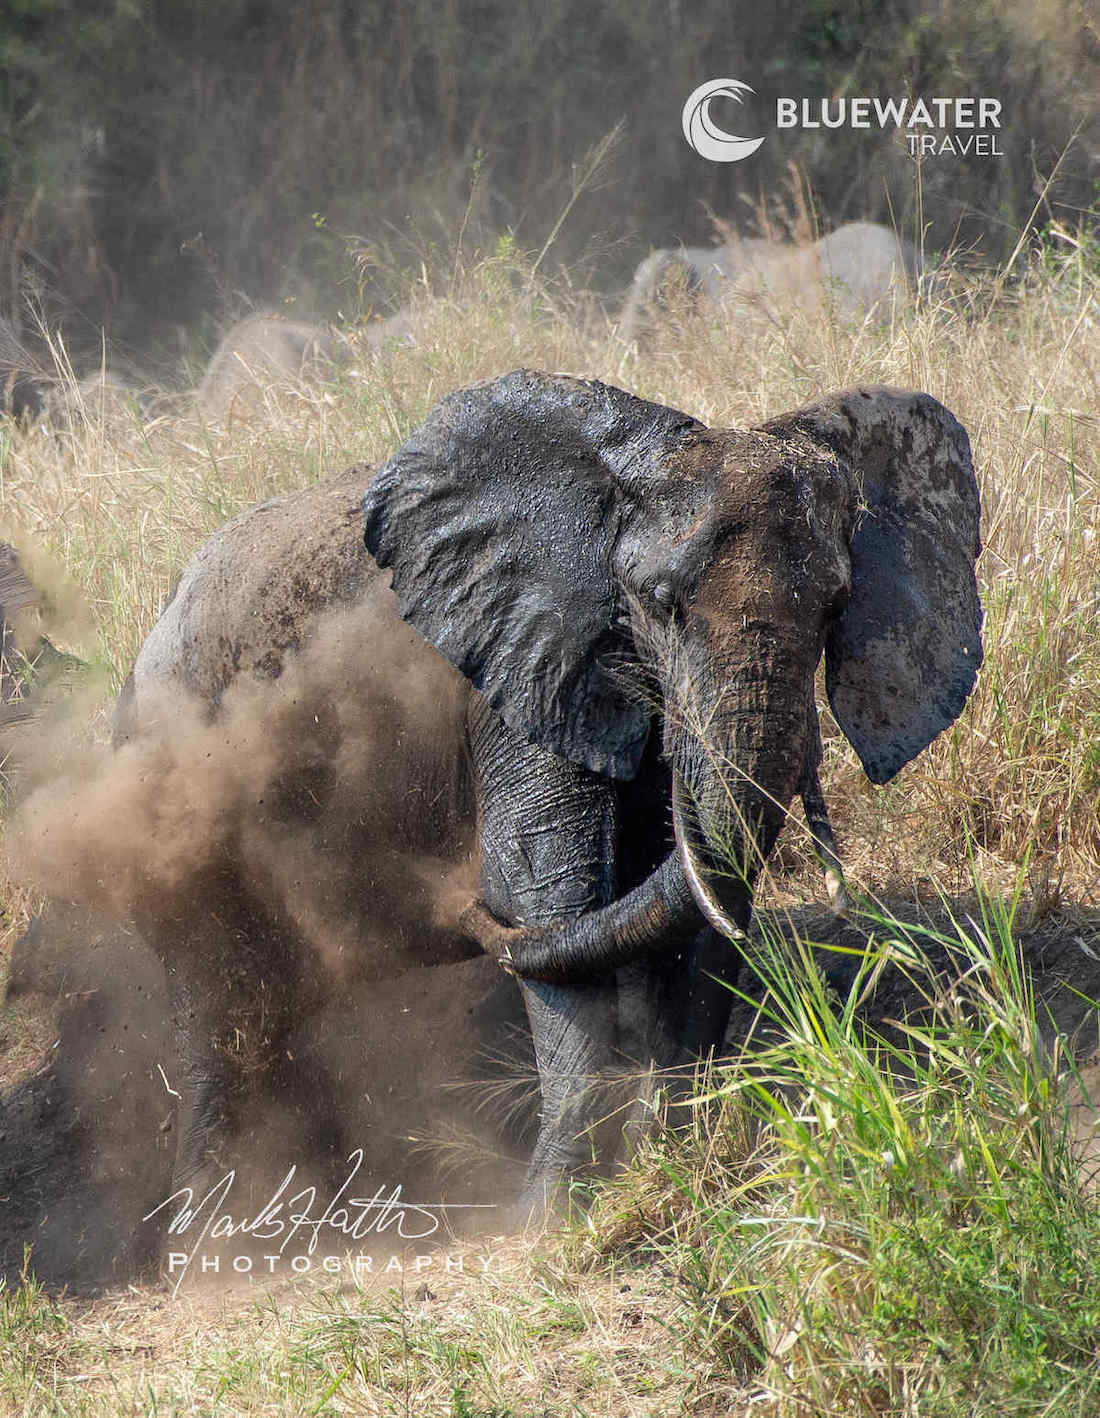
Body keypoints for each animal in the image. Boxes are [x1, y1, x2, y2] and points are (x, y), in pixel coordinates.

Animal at [113, 371, 981, 1219]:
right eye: (659, 603)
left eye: (837, 607)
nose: (448, 899)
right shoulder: (514, 679)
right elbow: (549, 898)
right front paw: (552, 1216)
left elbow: (688, 903)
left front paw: (669, 1165)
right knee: (224, 1008)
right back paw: (216, 1228)